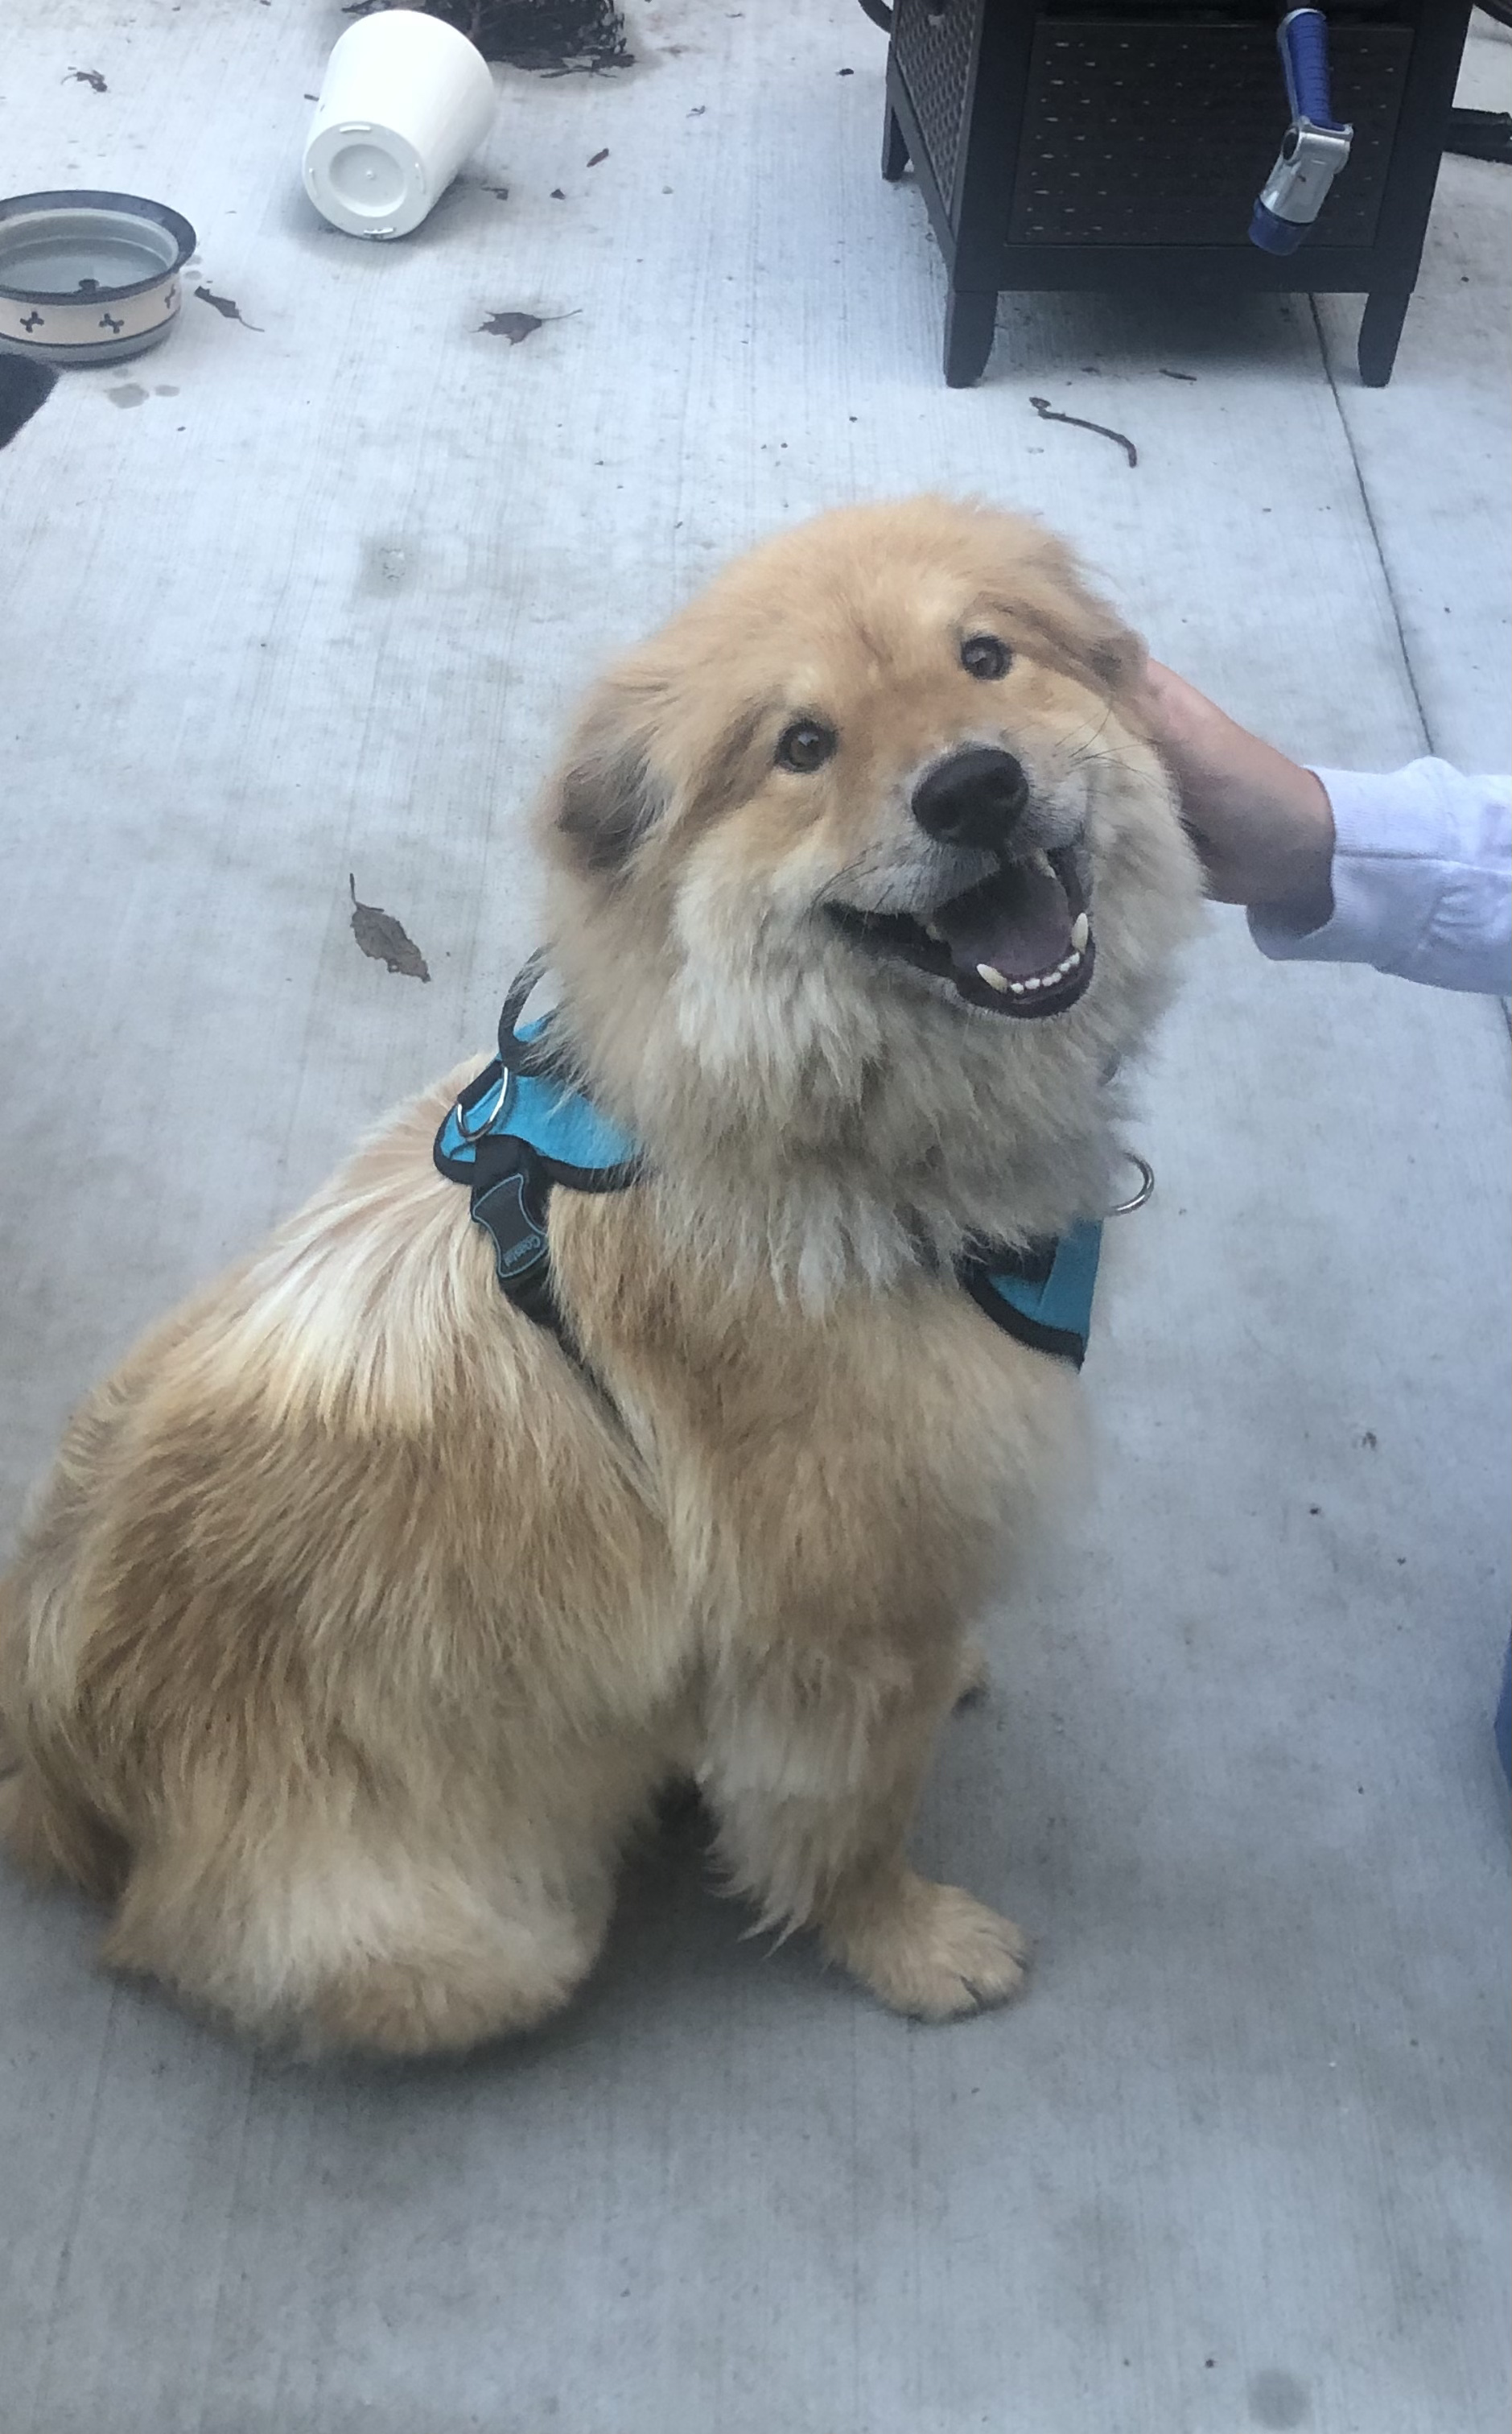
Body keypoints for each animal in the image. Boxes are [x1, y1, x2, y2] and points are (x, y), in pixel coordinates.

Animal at [2, 493, 1202, 2054]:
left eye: (985, 656)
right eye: (800, 745)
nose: (973, 790)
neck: (821, 1136)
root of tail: (63, 1778)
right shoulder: (834, 1643)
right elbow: (852, 1825)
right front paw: (908, 1943)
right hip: (503, 1940)